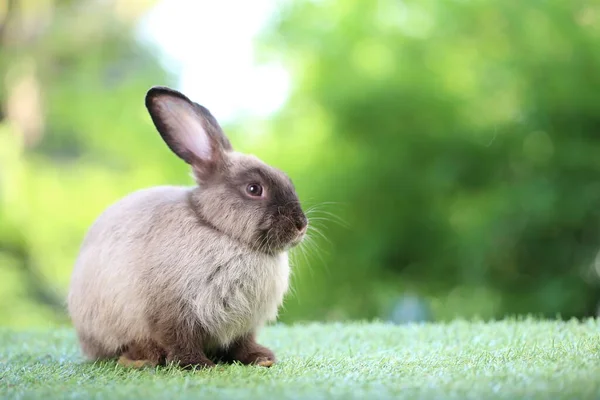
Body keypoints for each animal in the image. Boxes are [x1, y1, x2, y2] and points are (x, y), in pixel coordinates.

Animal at [68, 86, 308, 370]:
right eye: (254, 189)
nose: (301, 225)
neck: (218, 230)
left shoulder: (244, 325)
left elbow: (242, 343)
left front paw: (261, 358)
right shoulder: (173, 313)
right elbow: (179, 339)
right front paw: (198, 365)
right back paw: (140, 359)